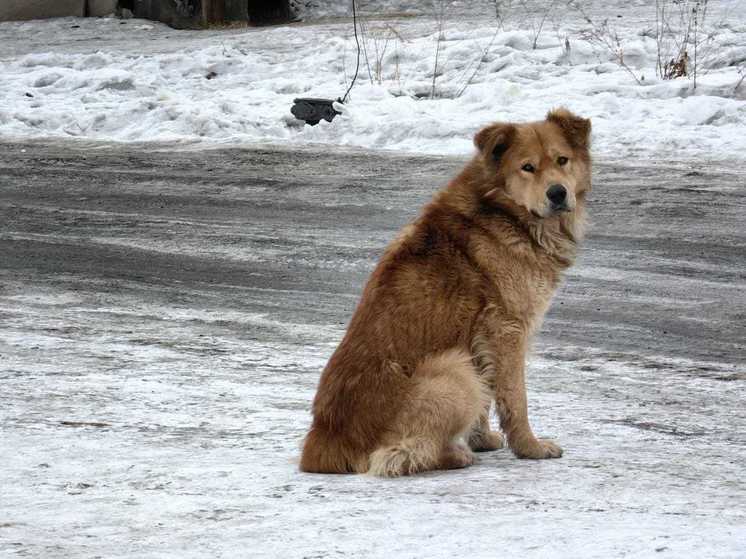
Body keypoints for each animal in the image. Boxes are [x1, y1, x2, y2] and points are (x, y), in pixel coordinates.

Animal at [300, 108, 588, 476]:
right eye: (527, 167)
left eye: (562, 160)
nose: (558, 193)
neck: (505, 211)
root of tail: (323, 446)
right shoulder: (507, 330)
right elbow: (515, 398)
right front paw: (529, 448)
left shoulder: (481, 339)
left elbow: (488, 393)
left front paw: (482, 439)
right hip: (454, 369)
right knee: (395, 456)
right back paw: (454, 455)